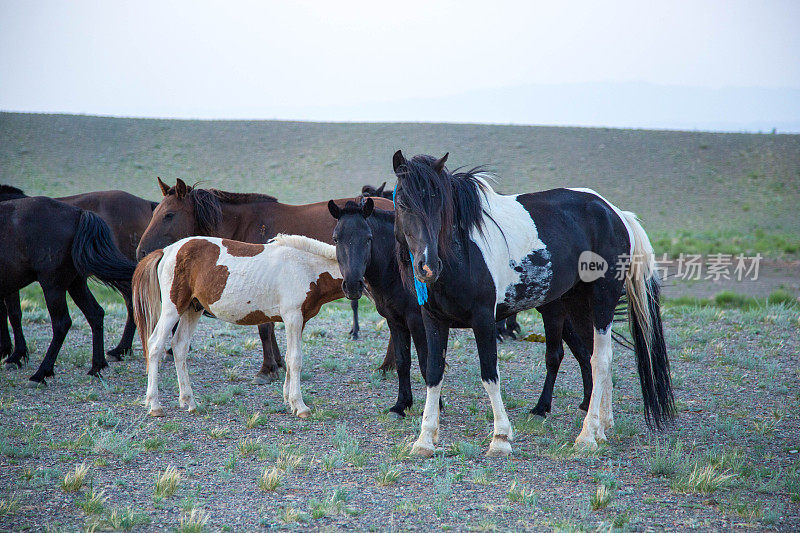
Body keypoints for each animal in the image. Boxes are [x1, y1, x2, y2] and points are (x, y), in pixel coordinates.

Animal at [138, 178, 396, 382]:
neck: (246, 223)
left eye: (169, 215)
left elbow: (264, 329)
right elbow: (269, 327)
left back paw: (388, 365)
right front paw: (279, 363)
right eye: (154, 213)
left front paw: (267, 369)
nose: (141, 251)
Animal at [394, 152, 676, 456]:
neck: (462, 252)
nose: (428, 267)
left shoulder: (483, 320)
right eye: (403, 203)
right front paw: (424, 439)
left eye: (439, 203)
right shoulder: (434, 320)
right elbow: (433, 372)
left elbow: (489, 374)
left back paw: (587, 435)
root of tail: (615, 213)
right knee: (594, 356)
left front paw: (500, 438)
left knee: (600, 359)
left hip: (602, 301)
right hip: (578, 306)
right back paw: (602, 426)